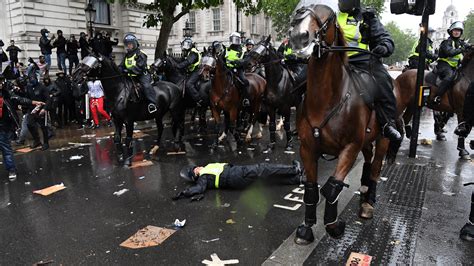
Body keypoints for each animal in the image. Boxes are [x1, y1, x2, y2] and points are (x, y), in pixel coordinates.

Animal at [288, 3, 404, 244]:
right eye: (300, 8)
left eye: (329, 18)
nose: (299, 37)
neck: (326, 100)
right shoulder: (307, 148)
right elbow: (311, 189)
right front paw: (306, 228)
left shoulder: (350, 147)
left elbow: (333, 187)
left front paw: (333, 225)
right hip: (367, 139)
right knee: (368, 162)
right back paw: (364, 188)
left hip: (383, 139)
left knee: (376, 167)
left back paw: (368, 202)